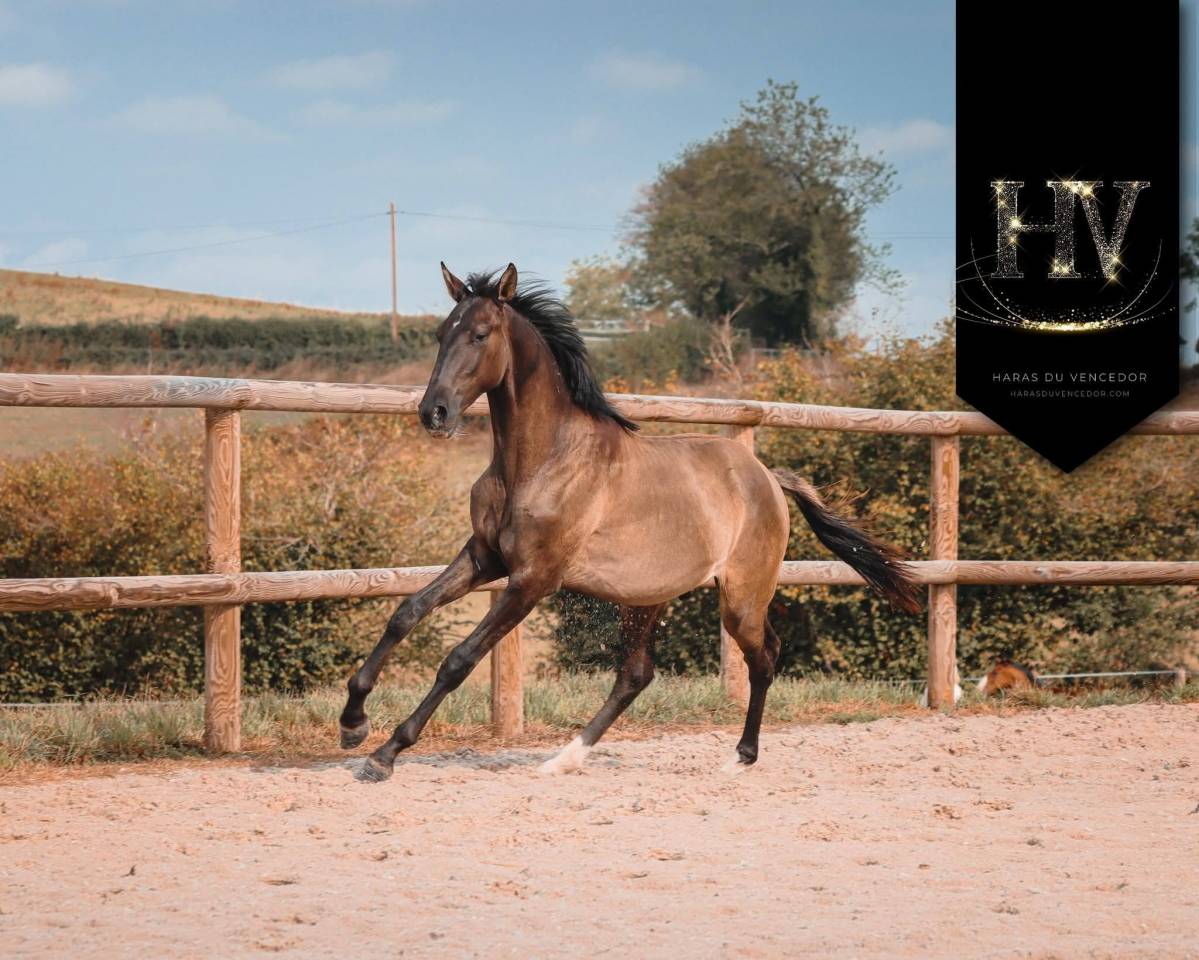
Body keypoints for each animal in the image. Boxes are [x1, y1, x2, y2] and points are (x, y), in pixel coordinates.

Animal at [339, 262, 921, 783]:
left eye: (480, 334)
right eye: (443, 334)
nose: (433, 413)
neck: (541, 460)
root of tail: (767, 477)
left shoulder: (532, 580)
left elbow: (459, 659)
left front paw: (385, 753)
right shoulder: (485, 557)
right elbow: (406, 613)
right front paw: (353, 723)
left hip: (741, 597)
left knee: (763, 658)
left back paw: (741, 756)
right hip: (647, 596)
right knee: (637, 674)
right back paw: (563, 759)